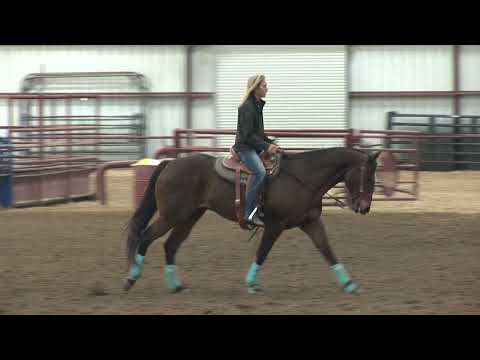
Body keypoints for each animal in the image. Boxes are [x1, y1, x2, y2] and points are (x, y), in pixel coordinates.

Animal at [125, 148, 380, 294]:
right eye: (368, 175)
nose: (365, 207)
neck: (302, 177)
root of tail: (170, 163)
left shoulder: (311, 223)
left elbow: (327, 250)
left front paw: (348, 284)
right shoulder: (275, 226)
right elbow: (262, 253)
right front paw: (250, 283)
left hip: (189, 217)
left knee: (170, 245)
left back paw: (175, 285)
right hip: (171, 216)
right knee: (145, 237)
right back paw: (131, 277)